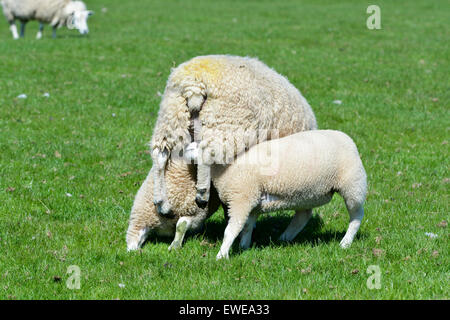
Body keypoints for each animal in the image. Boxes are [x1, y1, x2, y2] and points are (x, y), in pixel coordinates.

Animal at [150, 54, 316, 218]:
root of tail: (194, 83)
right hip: (226, 122)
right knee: (205, 152)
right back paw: (202, 194)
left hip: (172, 116)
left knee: (160, 154)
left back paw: (162, 203)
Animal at [174, 130, 368, 260]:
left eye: (203, 145)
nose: (186, 147)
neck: (226, 168)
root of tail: (347, 138)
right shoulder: (252, 200)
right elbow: (247, 226)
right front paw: (244, 247)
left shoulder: (242, 198)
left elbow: (231, 229)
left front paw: (222, 255)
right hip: (307, 193)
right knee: (303, 216)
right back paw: (284, 238)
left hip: (353, 185)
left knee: (357, 215)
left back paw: (345, 242)